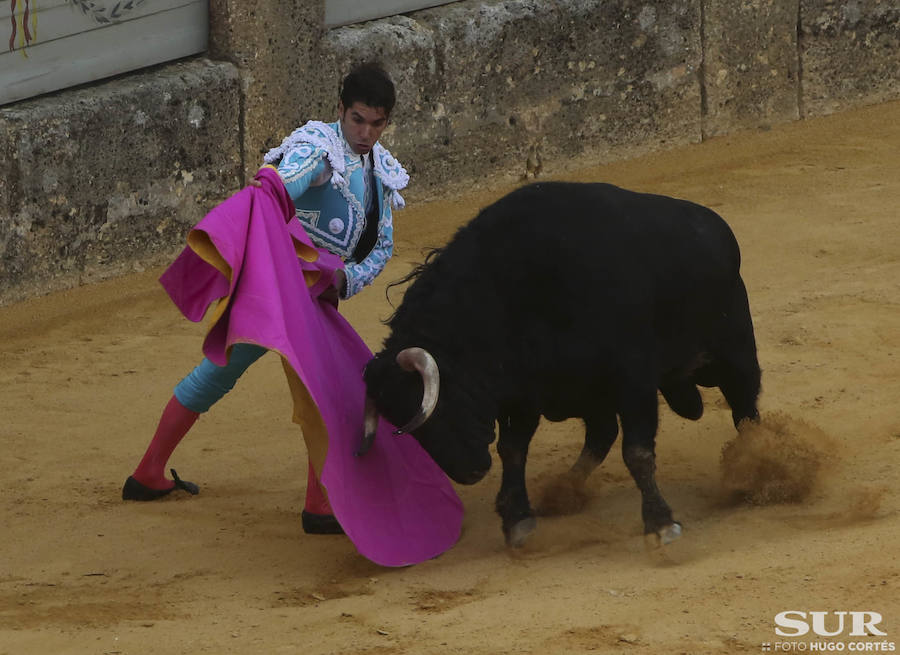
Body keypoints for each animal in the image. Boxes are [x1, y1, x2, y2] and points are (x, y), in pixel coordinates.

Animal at [360, 182, 760, 544]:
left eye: (435, 406)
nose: (470, 472)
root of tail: (718, 228)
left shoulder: (633, 381)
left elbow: (637, 452)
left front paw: (661, 524)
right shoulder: (524, 393)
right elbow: (513, 450)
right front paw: (517, 519)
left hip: (734, 351)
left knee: (745, 409)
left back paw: (755, 465)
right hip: (596, 395)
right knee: (601, 434)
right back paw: (563, 489)